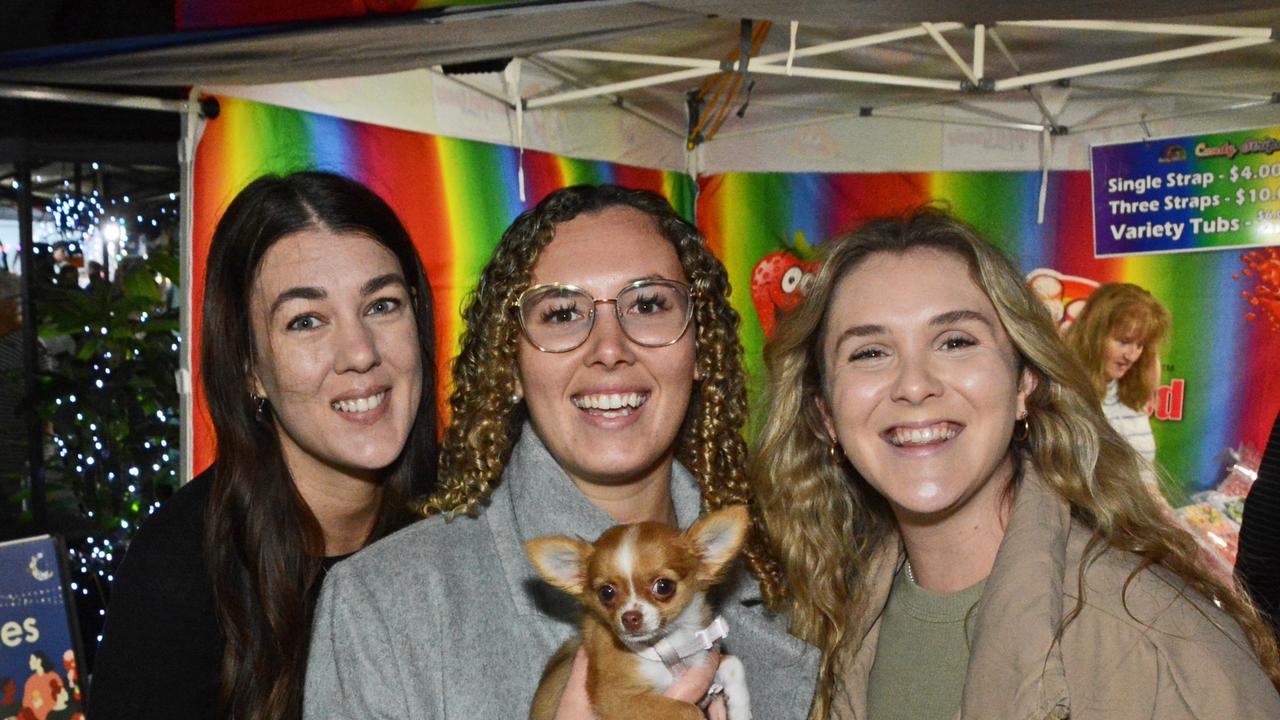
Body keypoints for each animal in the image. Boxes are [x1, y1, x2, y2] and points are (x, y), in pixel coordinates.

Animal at [527, 504, 752, 717]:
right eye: (606, 592)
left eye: (664, 586)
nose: (630, 618)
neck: (669, 644)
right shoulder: (618, 698)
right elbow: (687, 710)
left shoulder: (702, 662)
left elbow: (734, 664)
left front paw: (741, 711)